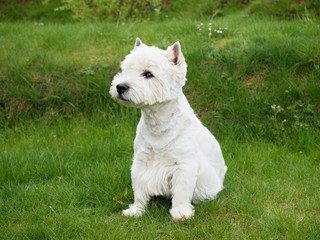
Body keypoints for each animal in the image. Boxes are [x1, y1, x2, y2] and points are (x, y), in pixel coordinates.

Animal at [110, 38, 228, 221]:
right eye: (125, 69)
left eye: (148, 74)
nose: (120, 87)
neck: (158, 125)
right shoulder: (141, 162)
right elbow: (139, 189)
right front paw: (136, 210)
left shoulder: (184, 164)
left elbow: (181, 192)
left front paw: (180, 213)